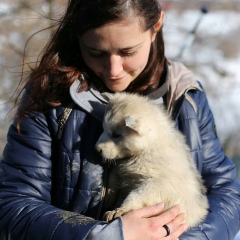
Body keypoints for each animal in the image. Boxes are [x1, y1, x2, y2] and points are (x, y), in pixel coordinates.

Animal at [95, 92, 208, 229]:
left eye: (116, 135)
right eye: (103, 129)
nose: (97, 149)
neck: (148, 148)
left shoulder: (157, 184)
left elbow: (135, 195)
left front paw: (120, 210)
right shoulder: (121, 170)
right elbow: (114, 177)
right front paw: (109, 196)